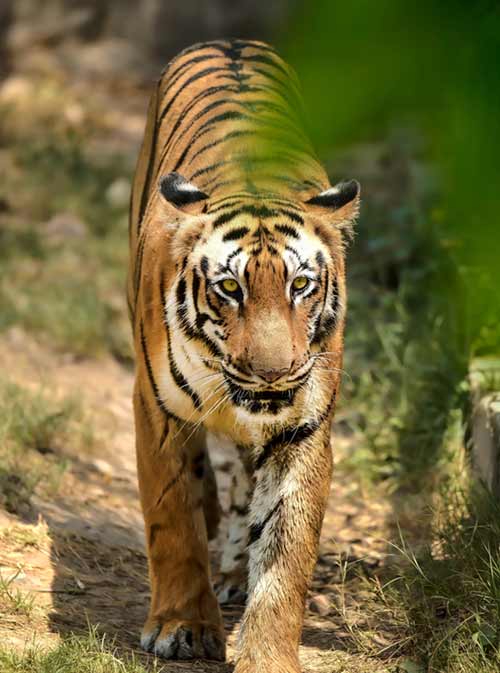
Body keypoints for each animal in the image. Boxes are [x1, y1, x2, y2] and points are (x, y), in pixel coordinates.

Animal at [127, 38, 359, 673]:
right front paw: (181, 628)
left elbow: (285, 550)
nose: (273, 373)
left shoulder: (303, 427)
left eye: (300, 285)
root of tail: (229, 41)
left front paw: (267, 655)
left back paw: (233, 572)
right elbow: (174, 520)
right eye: (229, 288)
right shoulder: (158, 410)